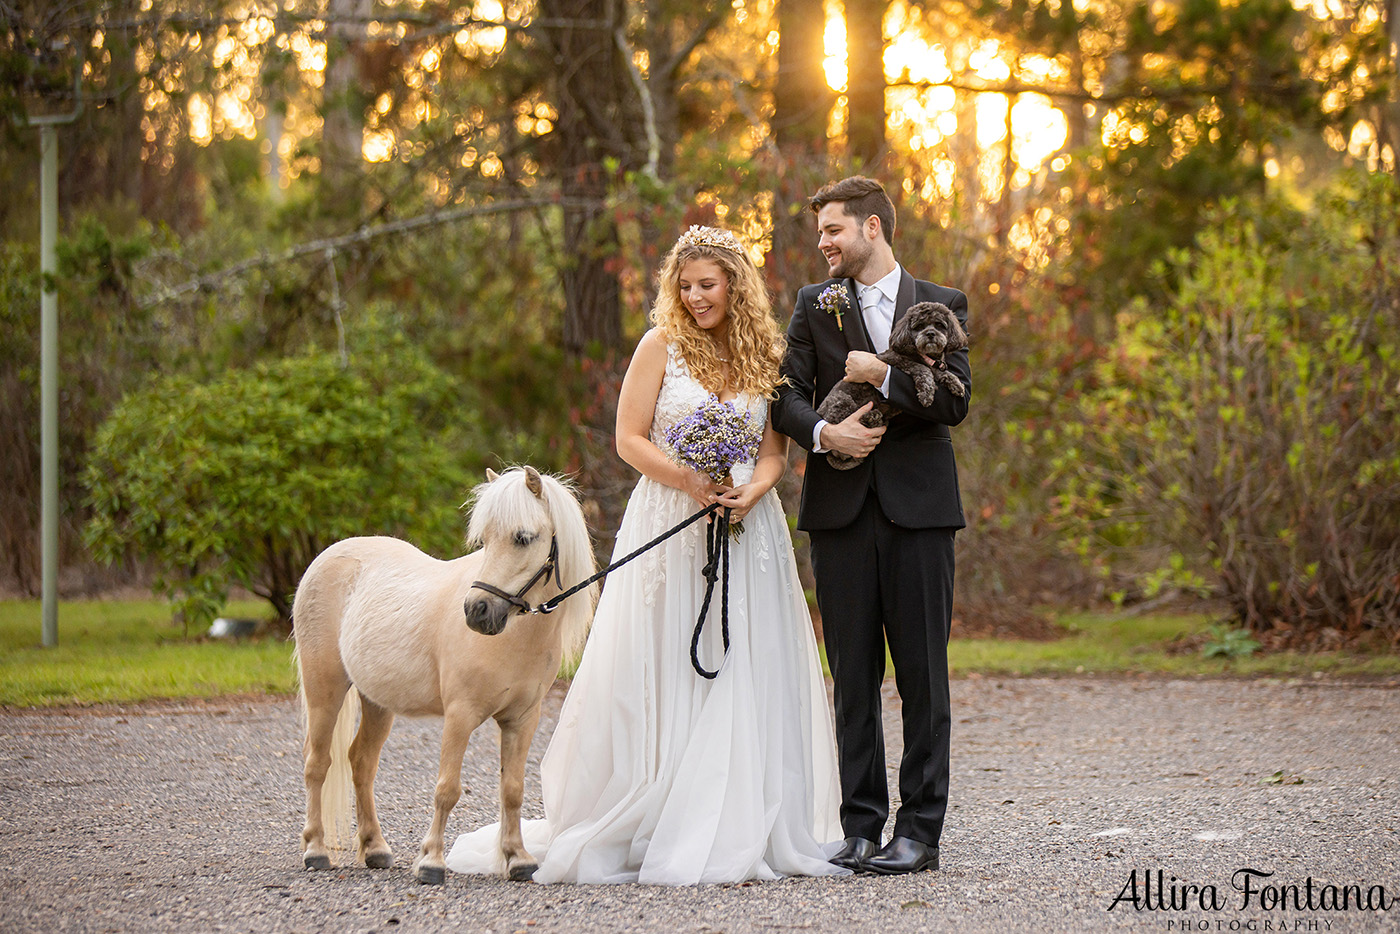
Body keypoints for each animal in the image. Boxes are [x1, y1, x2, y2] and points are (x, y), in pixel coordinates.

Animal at [292, 467, 599, 884]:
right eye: (485, 540)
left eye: (523, 537)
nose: (476, 611)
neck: (516, 637)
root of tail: (326, 557)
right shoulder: (460, 715)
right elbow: (447, 789)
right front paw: (431, 862)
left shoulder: (522, 719)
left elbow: (512, 789)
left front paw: (518, 859)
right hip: (325, 689)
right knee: (317, 764)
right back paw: (316, 851)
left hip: (378, 702)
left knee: (361, 763)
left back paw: (375, 849)